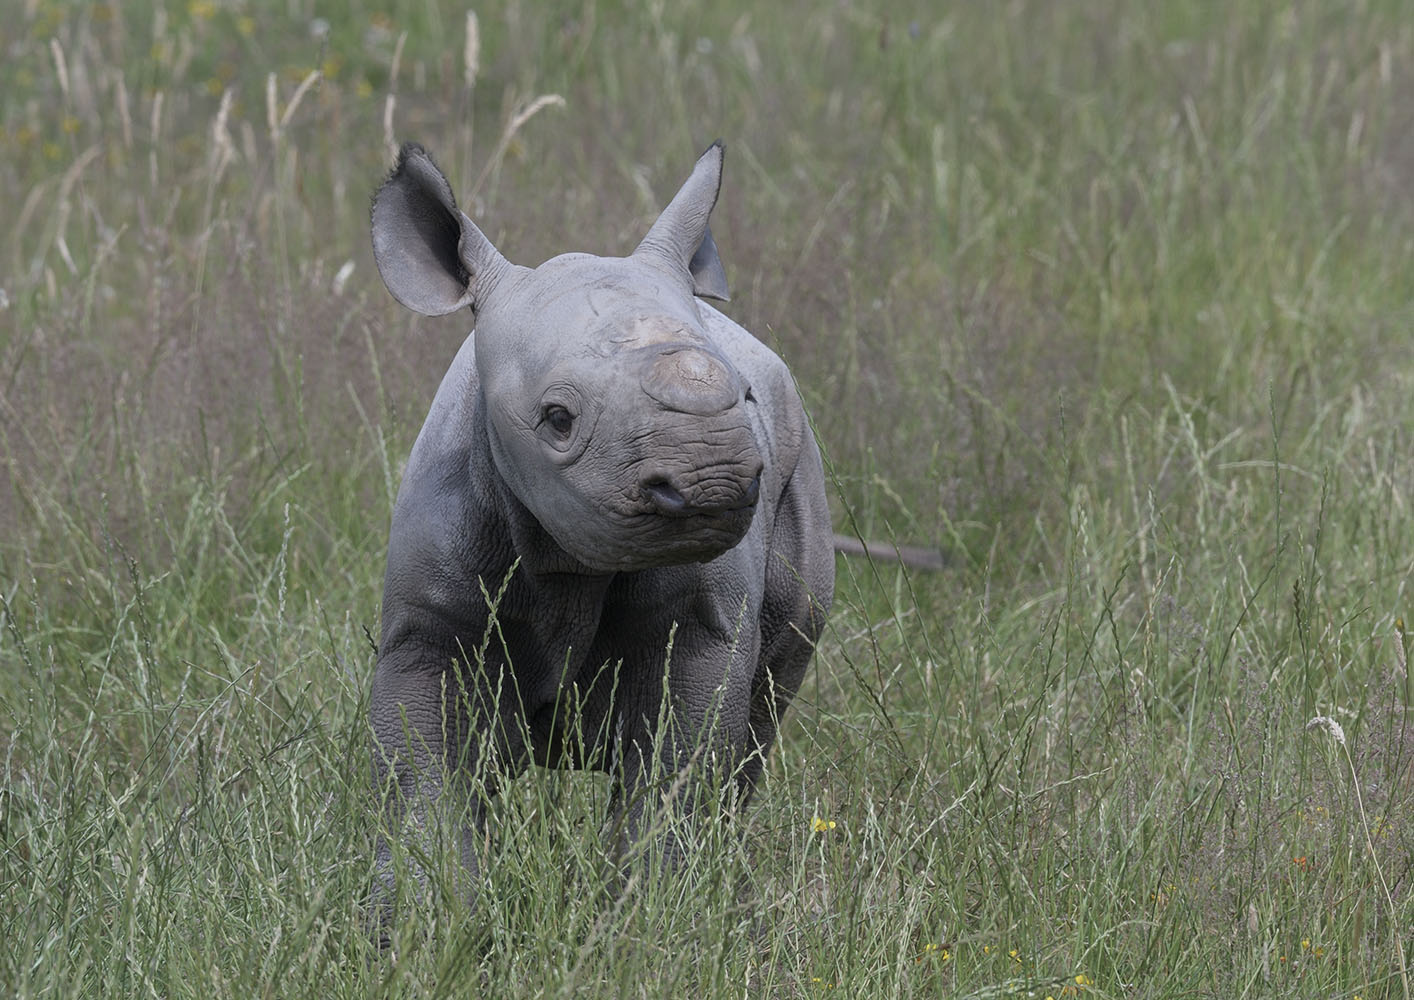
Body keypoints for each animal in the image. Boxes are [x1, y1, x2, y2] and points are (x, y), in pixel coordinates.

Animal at [367, 140, 834, 910]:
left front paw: (656, 918)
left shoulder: (699, 629)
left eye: (743, 396)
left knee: (758, 730)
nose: (712, 479)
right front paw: (419, 923)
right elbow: (422, 786)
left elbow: (676, 779)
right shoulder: (428, 627)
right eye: (557, 419)